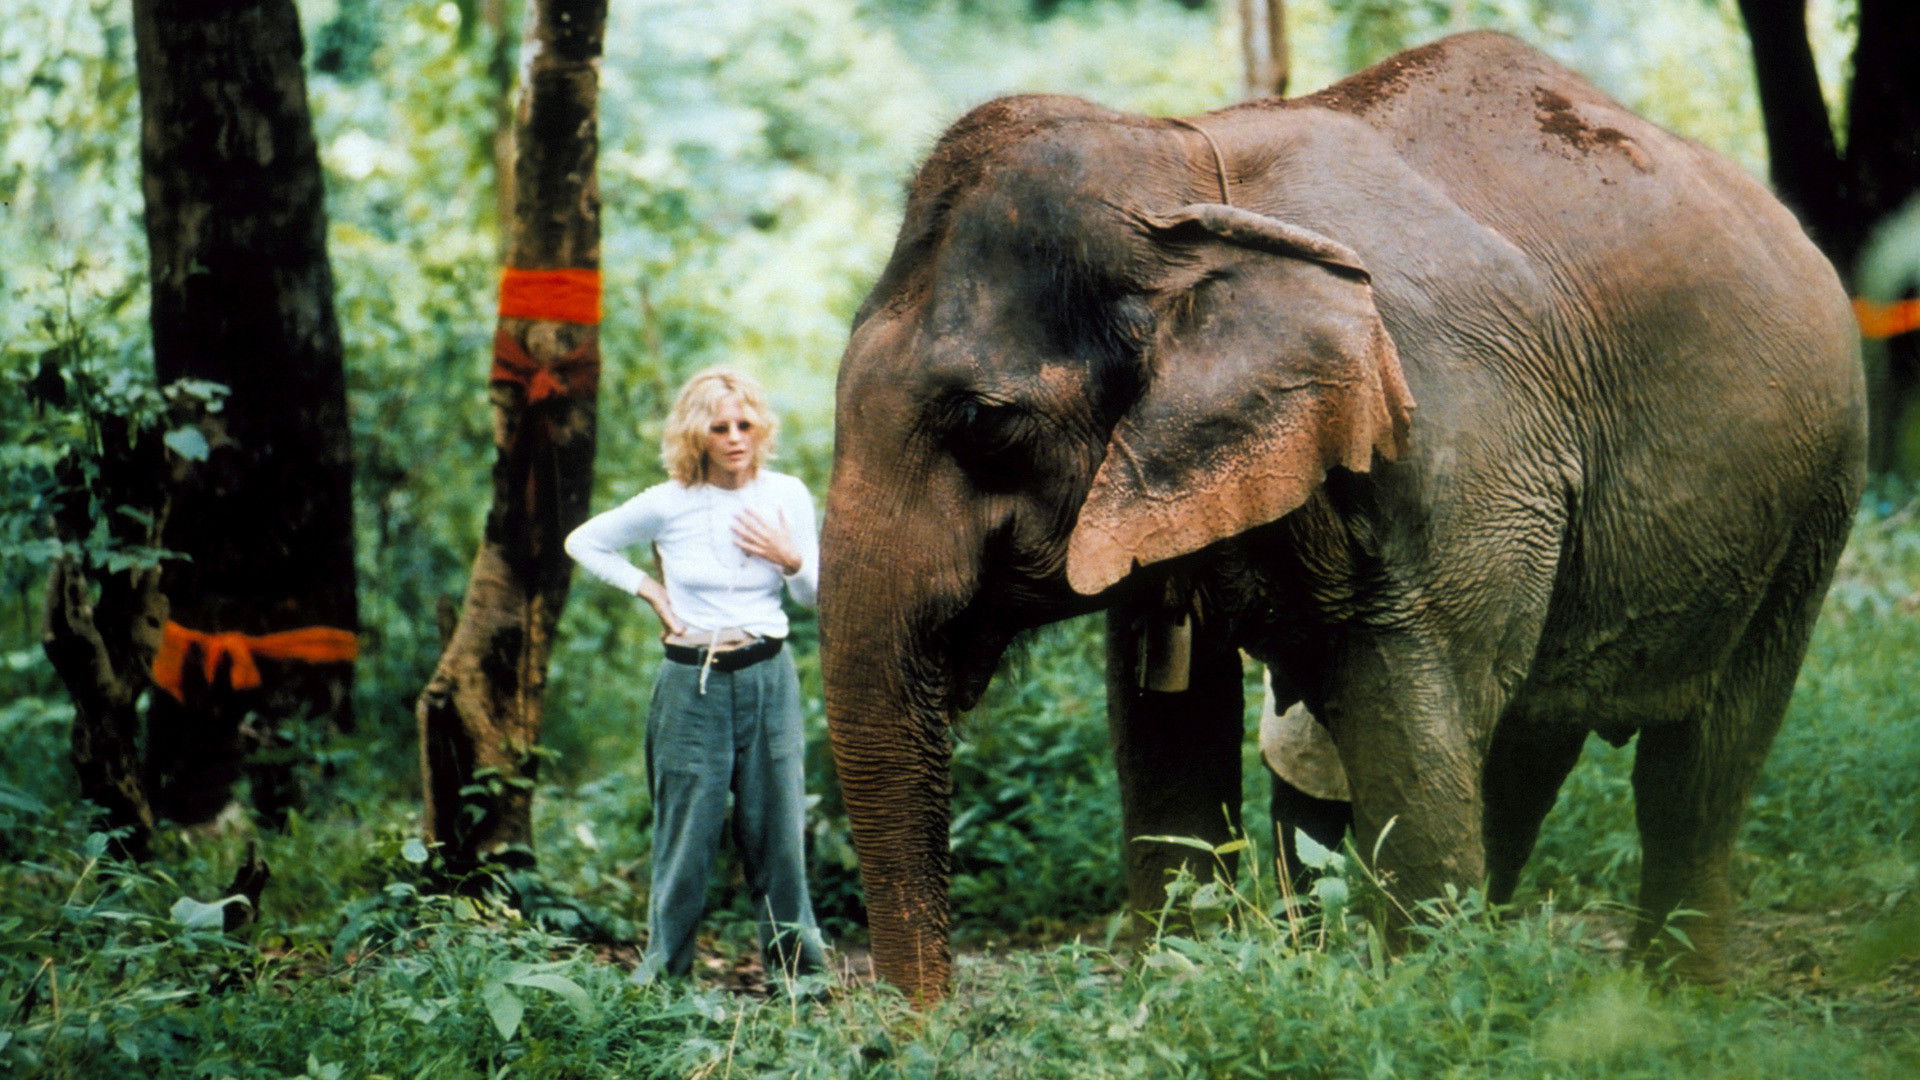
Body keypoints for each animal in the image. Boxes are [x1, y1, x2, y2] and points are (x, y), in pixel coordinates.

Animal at [820, 31, 1866, 1003]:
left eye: (982, 423)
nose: (928, 1027)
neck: (1189, 175)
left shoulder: (1462, 445)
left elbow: (1415, 720)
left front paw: (1421, 1007)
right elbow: (1166, 718)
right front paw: (1188, 987)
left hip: (1817, 497)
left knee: (1695, 763)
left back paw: (1670, 999)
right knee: (1527, 747)